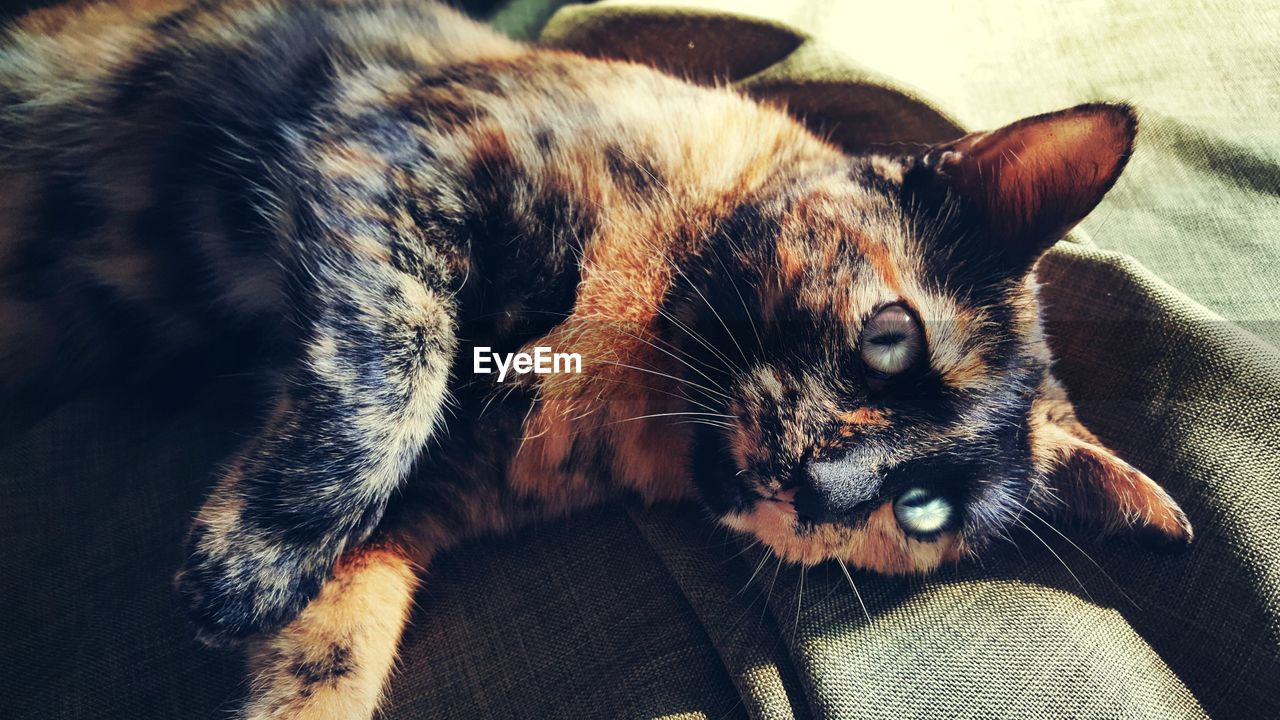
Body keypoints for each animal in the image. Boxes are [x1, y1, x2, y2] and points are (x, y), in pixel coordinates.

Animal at [2, 1, 1187, 717]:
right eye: (889, 339)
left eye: (922, 509)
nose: (819, 486)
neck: (623, 380)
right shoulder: (397, 160)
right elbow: (392, 371)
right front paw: (244, 565)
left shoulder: (411, 522)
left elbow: (332, 657)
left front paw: (266, 587)